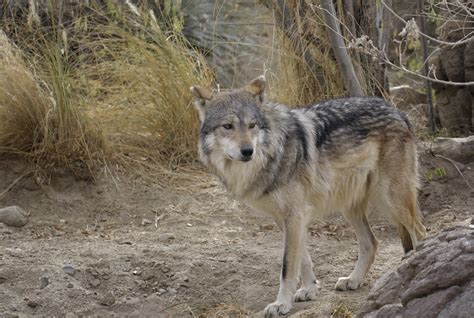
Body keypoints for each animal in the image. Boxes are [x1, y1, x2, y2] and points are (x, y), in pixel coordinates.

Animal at [189, 76, 426, 316]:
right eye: (227, 126)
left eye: (251, 125)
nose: (247, 151)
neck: (273, 152)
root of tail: (397, 111)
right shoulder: (287, 218)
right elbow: (302, 259)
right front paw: (309, 289)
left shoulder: (294, 215)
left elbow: (287, 266)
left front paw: (281, 304)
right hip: (350, 207)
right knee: (371, 242)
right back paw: (353, 279)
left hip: (390, 198)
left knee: (420, 231)